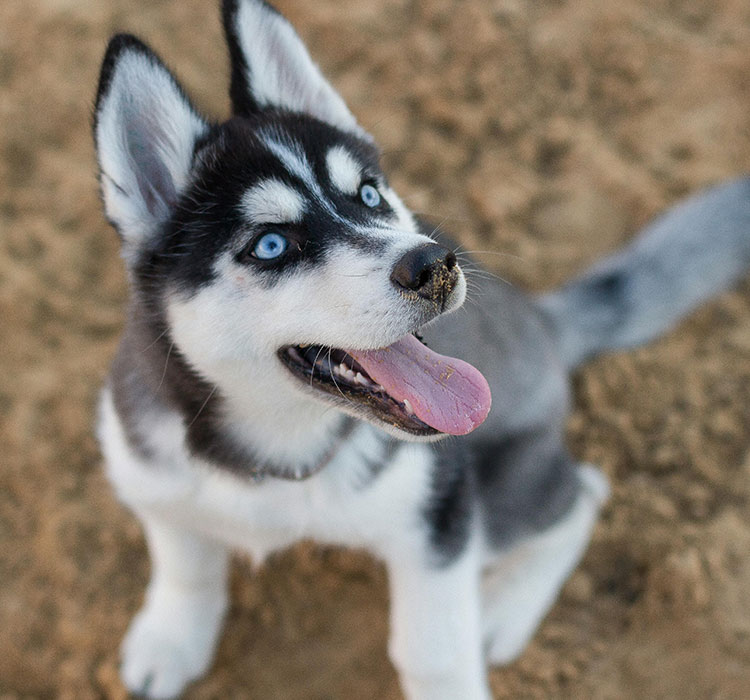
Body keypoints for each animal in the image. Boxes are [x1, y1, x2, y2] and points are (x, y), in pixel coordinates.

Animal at [94, 2, 750, 696]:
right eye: (270, 245)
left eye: (369, 195)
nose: (435, 263)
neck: (281, 447)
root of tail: (541, 320)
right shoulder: (151, 475)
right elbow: (183, 559)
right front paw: (171, 638)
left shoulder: (438, 517)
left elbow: (433, 648)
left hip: (503, 491)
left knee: (584, 494)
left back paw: (503, 607)